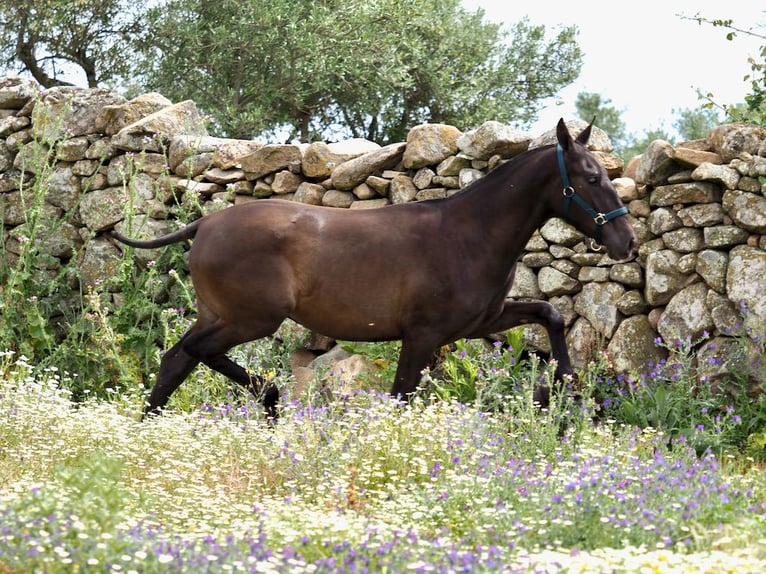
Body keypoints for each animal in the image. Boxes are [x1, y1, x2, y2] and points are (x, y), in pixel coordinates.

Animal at [108, 119, 636, 420]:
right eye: (592, 178)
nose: (626, 243)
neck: (469, 234)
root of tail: (205, 223)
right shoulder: (423, 335)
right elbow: (401, 398)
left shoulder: (481, 321)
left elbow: (551, 314)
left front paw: (563, 390)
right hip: (251, 319)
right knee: (191, 354)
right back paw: (269, 400)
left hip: (221, 315)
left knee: (177, 360)